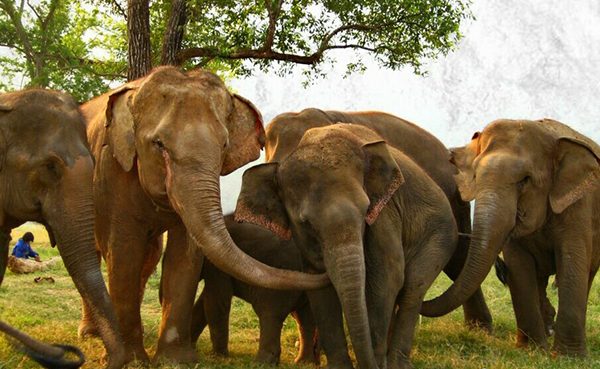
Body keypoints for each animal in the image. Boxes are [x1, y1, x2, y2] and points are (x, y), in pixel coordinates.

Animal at [78, 66, 328, 362]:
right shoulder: (112, 170)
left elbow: (185, 255)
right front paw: (131, 360)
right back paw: (91, 334)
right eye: (158, 144)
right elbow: (124, 252)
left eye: (224, 145)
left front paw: (175, 361)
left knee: (150, 256)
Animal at [237, 123, 458, 368]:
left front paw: (376, 363)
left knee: (412, 286)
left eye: (366, 210)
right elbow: (321, 289)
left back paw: (396, 363)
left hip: (440, 235)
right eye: (306, 223)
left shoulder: (385, 212)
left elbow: (387, 275)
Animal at [422, 119, 600, 356]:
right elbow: (519, 265)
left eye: (525, 180)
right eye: (475, 177)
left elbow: (572, 261)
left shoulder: (578, 206)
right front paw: (532, 351)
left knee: (586, 274)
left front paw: (568, 357)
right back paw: (547, 329)